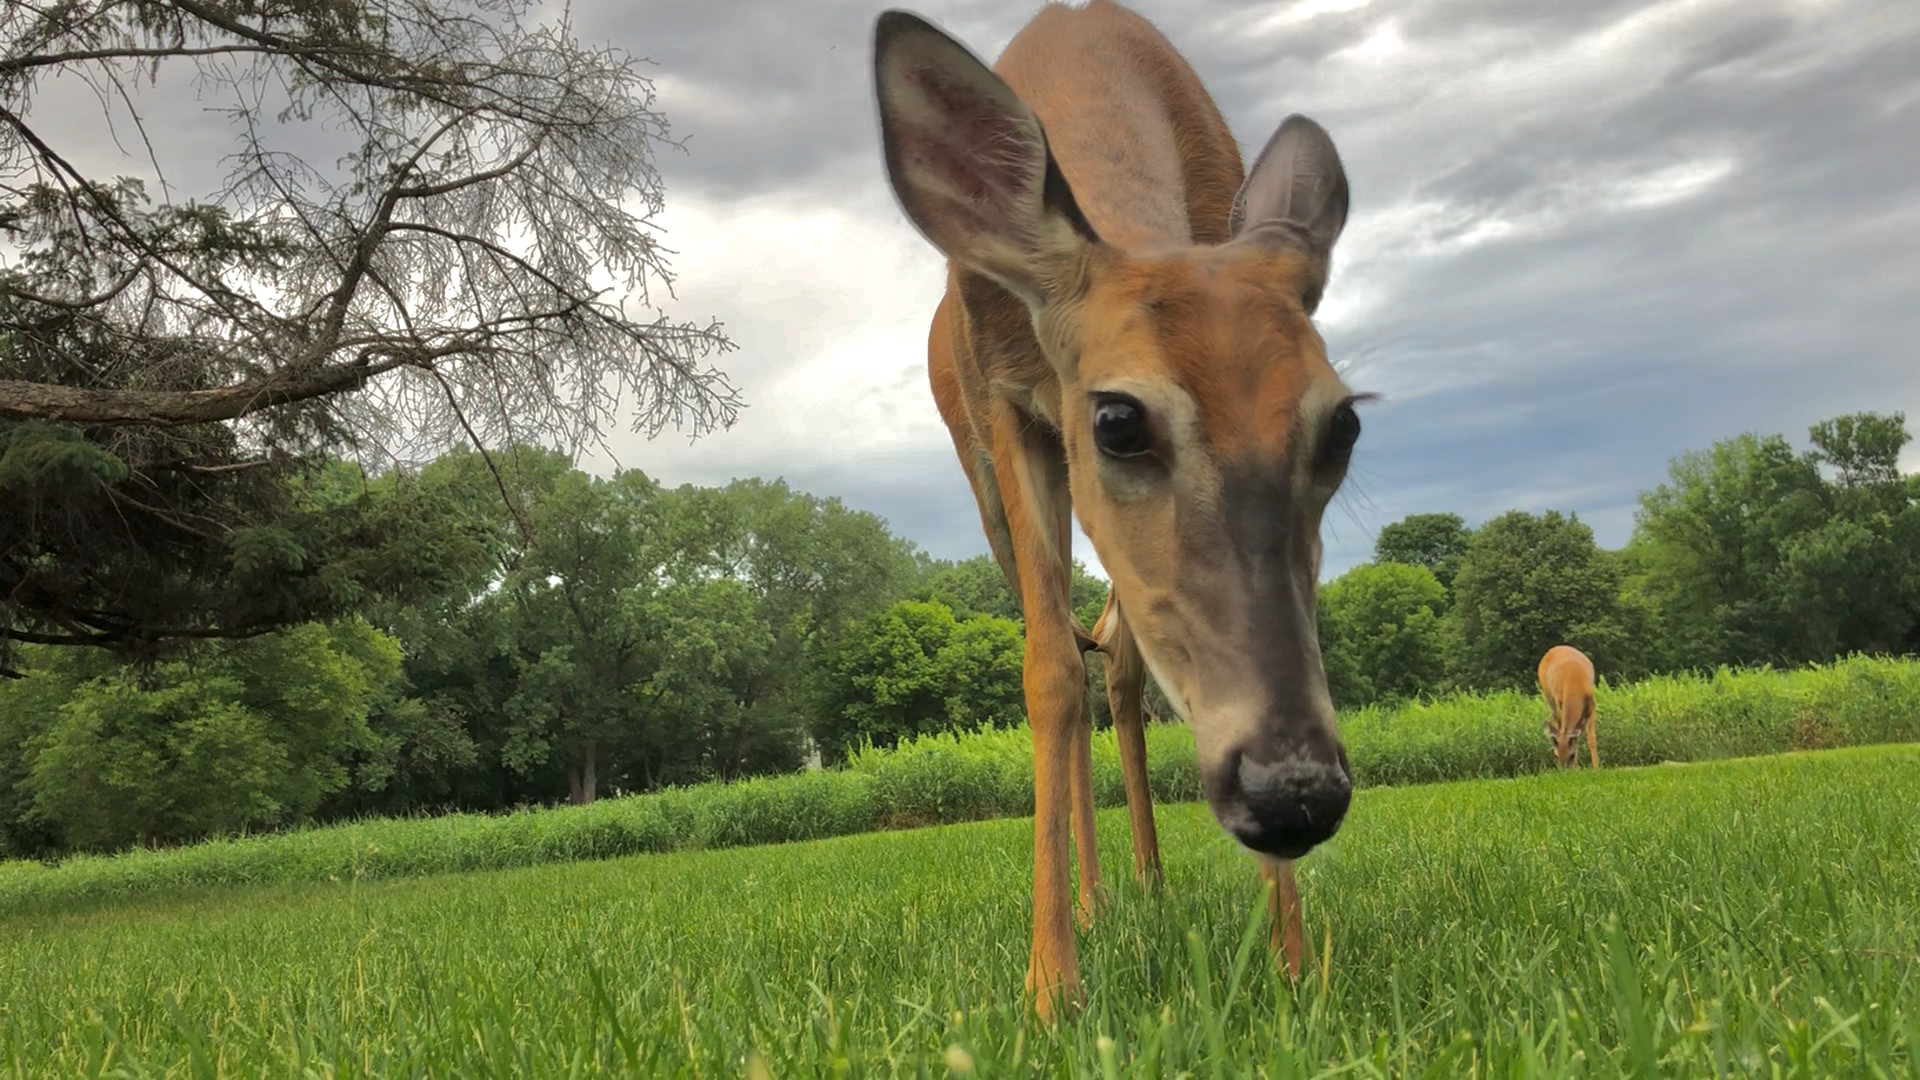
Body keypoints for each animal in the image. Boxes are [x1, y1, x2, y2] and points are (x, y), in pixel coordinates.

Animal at [870, 0, 1366, 1019]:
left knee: (1123, 651)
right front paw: (1050, 989)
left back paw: (1147, 881)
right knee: (1066, 639)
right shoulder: (1011, 409)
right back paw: (1097, 905)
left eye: (1342, 426)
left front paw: (1295, 964)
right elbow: (1049, 672)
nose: (1293, 791)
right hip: (980, 471)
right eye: (1119, 420)